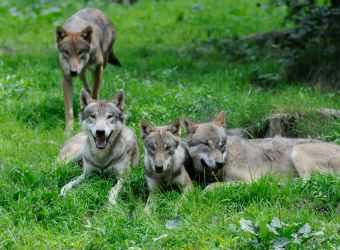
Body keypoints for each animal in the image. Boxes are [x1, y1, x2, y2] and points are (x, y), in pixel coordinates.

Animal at [183, 112, 340, 188]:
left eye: (221, 145)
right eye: (206, 144)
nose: (220, 163)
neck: (229, 158)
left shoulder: (248, 181)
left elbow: (209, 187)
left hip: (298, 151)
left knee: (311, 181)